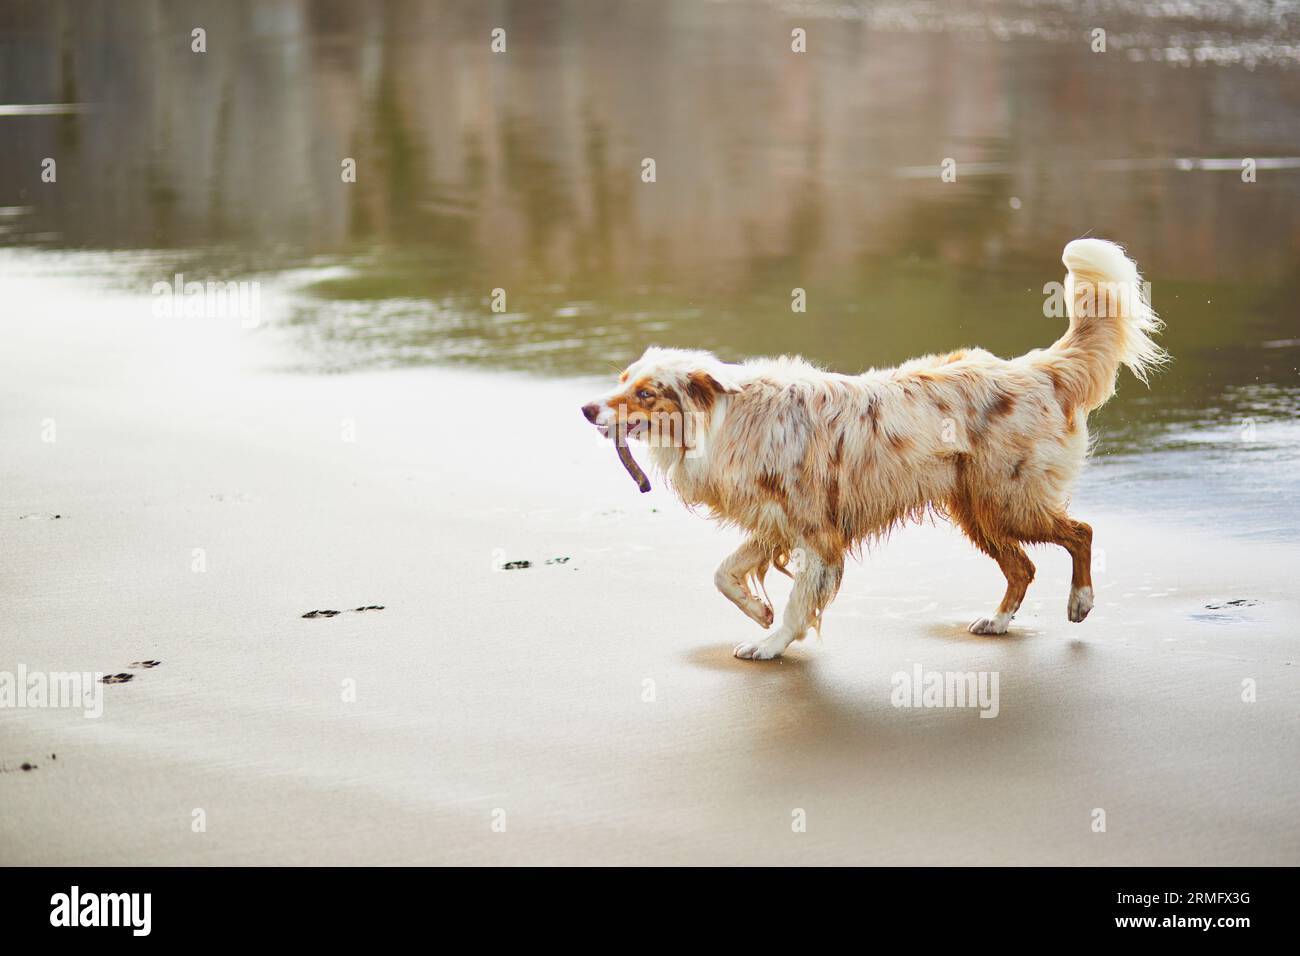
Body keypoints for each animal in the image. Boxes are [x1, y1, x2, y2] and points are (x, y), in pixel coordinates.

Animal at [585, 238, 1164, 658]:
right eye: (623, 380)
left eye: (646, 392)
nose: (587, 409)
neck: (732, 418)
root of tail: (1035, 368)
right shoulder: (775, 522)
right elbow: (724, 572)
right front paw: (759, 611)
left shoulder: (817, 534)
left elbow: (798, 603)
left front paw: (772, 643)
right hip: (976, 508)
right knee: (1022, 567)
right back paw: (997, 622)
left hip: (1008, 499)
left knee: (1081, 532)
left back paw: (1080, 602)